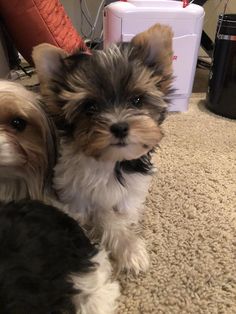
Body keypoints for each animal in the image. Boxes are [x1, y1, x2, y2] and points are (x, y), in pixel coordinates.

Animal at [32, 24, 173, 274]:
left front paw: (130, 243)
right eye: (90, 107)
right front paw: (129, 247)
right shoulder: (76, 194)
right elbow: (104, 215)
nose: (120, 127)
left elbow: (125, 211)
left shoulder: (131, 192)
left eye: (137, 100)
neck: (111, 162)